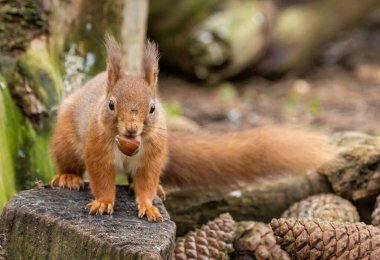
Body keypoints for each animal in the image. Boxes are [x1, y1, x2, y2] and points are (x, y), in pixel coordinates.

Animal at [51, 34, 332, 221]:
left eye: (152, 108)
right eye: (110, 104)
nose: (131, 130)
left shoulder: (153, 155)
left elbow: (146, 181)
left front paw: (148, 205)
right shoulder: (97, 148)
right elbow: (101, 179)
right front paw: (103, 203)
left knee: (139, 179)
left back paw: (156, 189)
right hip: (65, 140)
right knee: (68, 162)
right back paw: (68, 177)